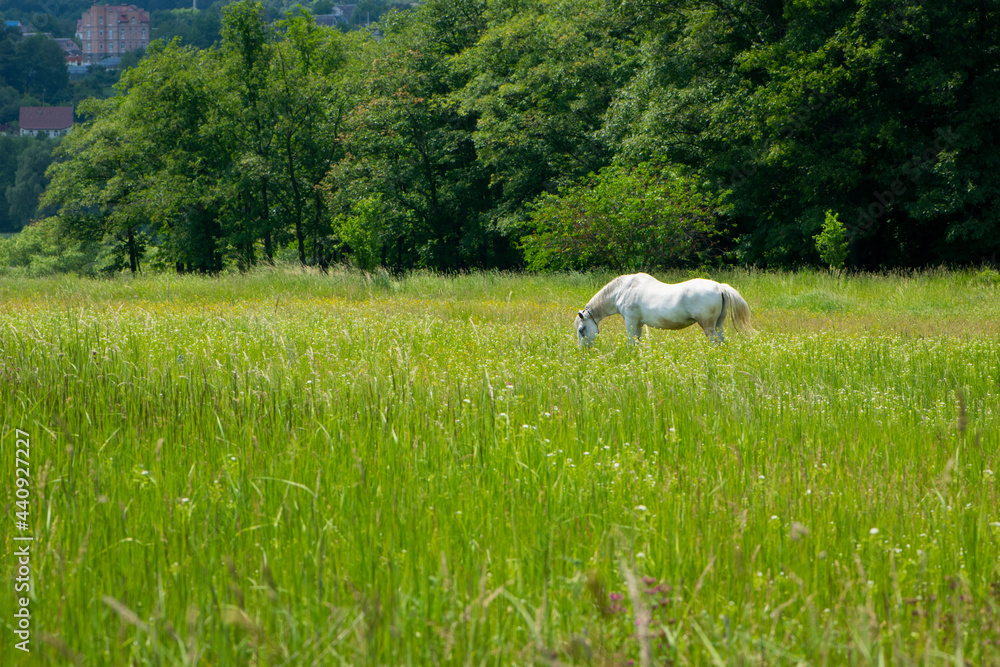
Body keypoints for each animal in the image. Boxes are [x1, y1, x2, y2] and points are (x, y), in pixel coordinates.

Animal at [574, 273, 755, 347]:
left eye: (582, 330)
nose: (584, 351)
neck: (623, 290)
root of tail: (720, 287)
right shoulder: (638, 324)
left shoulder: (631, 322)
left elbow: (631, 342)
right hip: (719, 324)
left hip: (708, 326)